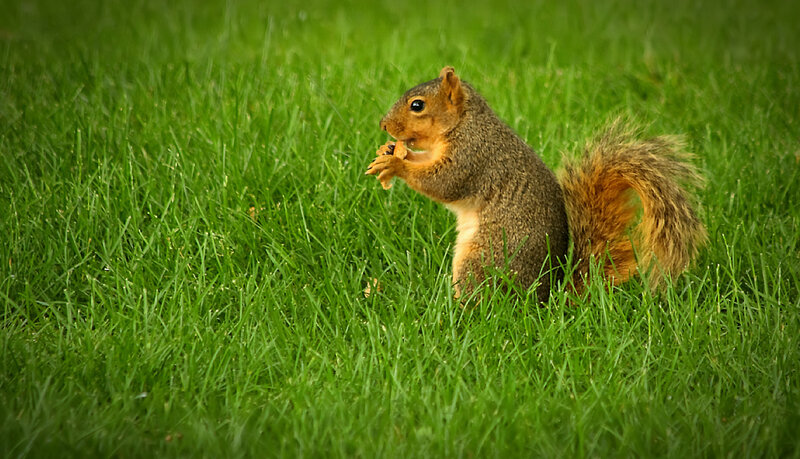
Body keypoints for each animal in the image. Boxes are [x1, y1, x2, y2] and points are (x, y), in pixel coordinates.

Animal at [366, 66, 706, 302]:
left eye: (417, 106)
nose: (383, 124)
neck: (464, 123)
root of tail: (543, 299)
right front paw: (391, 152)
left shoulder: (474, 155)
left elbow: (444, 183)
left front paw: (396, 164)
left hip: (483, 259)